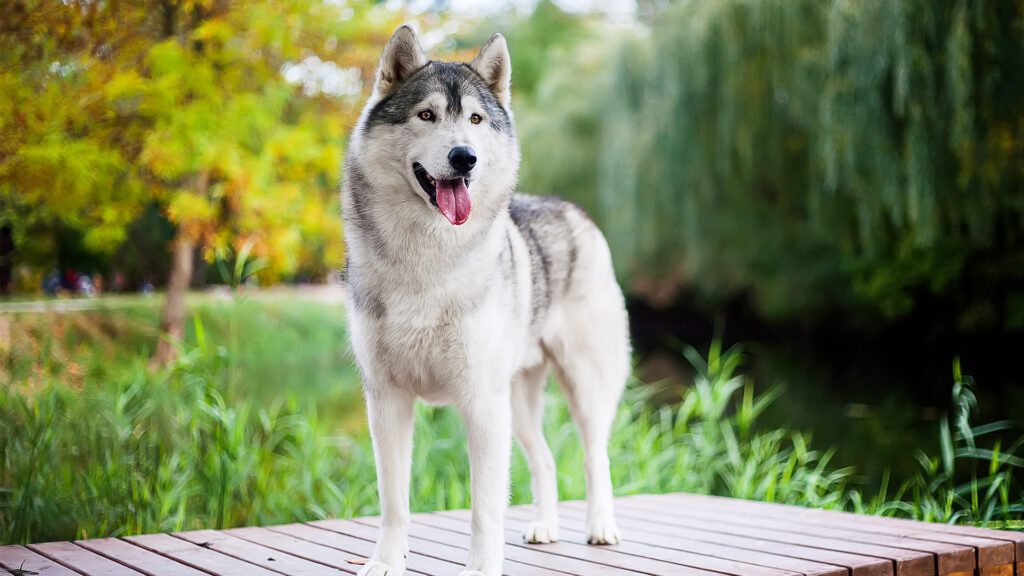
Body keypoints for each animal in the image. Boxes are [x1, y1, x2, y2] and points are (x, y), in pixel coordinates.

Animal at [341, 25, 631, 576]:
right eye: (427, 115)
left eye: (475, 120)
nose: (464, 157)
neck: (426, 260)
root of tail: (573, 207)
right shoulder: (386, 400)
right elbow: (394, 501)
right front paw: (386, 561)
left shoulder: (480, 403)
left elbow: (484, 508)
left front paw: (480, 566)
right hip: (516, 403)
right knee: (545, 459)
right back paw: (545, 526)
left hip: (580, 389)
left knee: (595, 455)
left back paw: (601, 526)